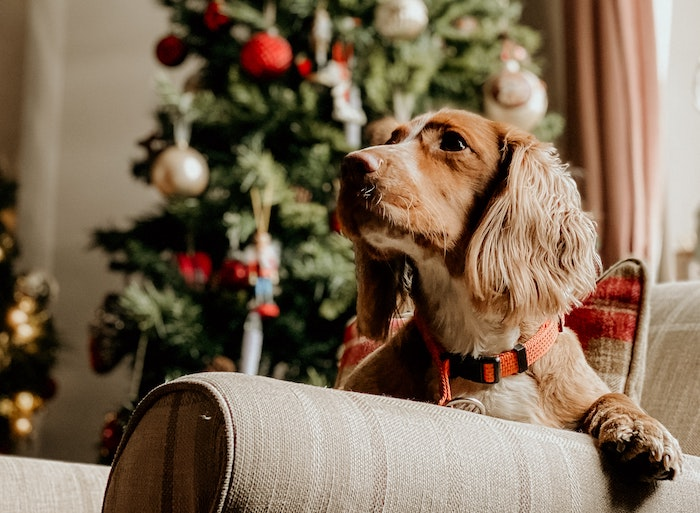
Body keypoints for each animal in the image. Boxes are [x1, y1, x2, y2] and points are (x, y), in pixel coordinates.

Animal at [336, 108, 682, 481]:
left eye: (453, 142)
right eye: (392, 139)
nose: (350, 164)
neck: (483, 357)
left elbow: (612, 397)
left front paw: (641, 428)